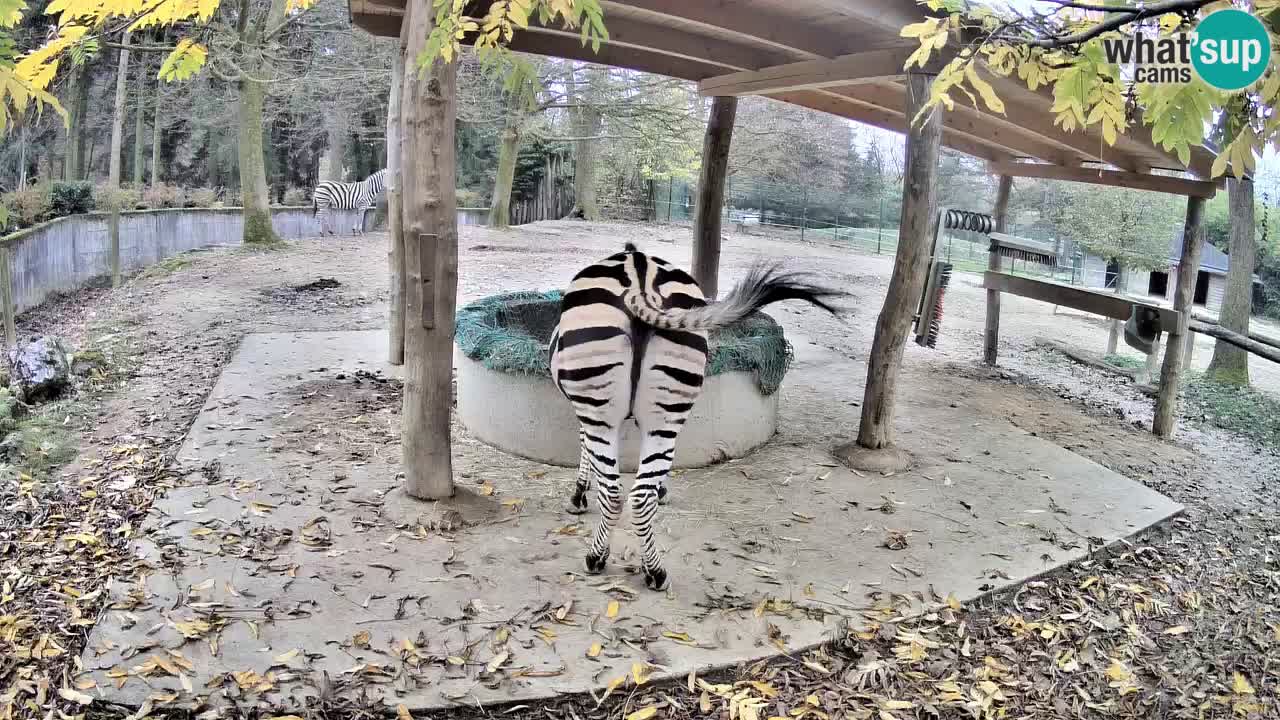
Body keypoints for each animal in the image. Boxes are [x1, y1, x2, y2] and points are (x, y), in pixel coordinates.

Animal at [547, 242, 846, 591]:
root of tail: (639, 274)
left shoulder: (587, 413)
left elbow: (586, 452)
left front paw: (578, 495)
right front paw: (661, 489)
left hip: (601, 411)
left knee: (614, 493)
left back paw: (597, 559)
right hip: (665, 408)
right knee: (640, 496)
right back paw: (654, 570)